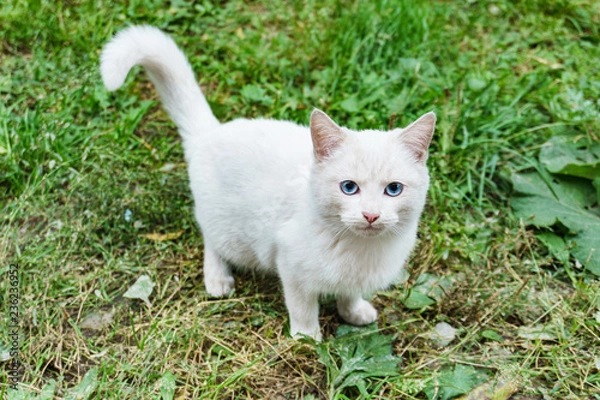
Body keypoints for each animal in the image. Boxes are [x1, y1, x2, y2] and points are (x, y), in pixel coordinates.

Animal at [99, 25, 436, 340]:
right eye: (349, 187)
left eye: (393, 189)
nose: (370, 215)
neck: (360, 250)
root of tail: (211, 133)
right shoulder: (290, 263)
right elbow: (302, 306)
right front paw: (307, 338)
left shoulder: (354, 277)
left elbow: (349, 292)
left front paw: (353, 311)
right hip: (229, 230)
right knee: (210, 239)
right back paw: (217, 278)